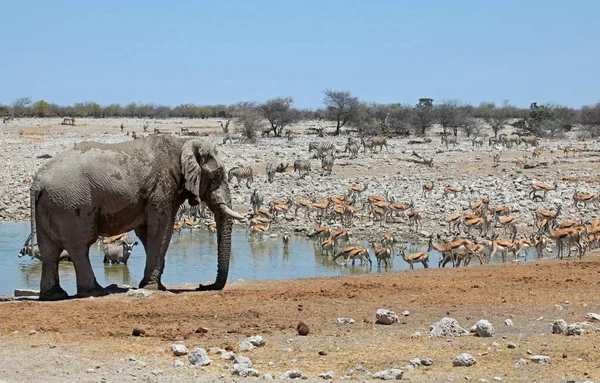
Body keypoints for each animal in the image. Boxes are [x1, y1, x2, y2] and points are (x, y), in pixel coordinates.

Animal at [27, 134, 247, 300]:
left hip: (51, 205)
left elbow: (146, 233)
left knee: (49, 251)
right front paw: (152, 287)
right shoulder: (161, 189)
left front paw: (155, 286)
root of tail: (37, 182)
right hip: (71, 204)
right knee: (79, 246)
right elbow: (161, 229)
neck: (183, 142)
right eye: (216, 175)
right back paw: (95, 291)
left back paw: (54, 295)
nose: (203, 285)